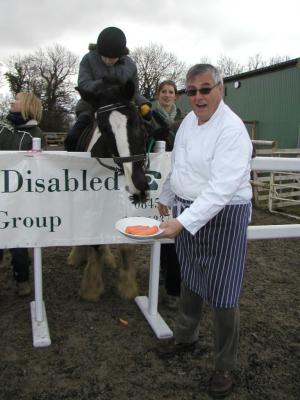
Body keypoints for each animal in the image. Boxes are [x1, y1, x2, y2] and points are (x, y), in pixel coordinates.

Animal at [67, 79, 149, 302]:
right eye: (104, 129)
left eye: (136, 120)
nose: (139, 183)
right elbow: (94, 241)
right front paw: (91, 287)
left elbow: (126, 241)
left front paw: (128, 286)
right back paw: (77, 255)